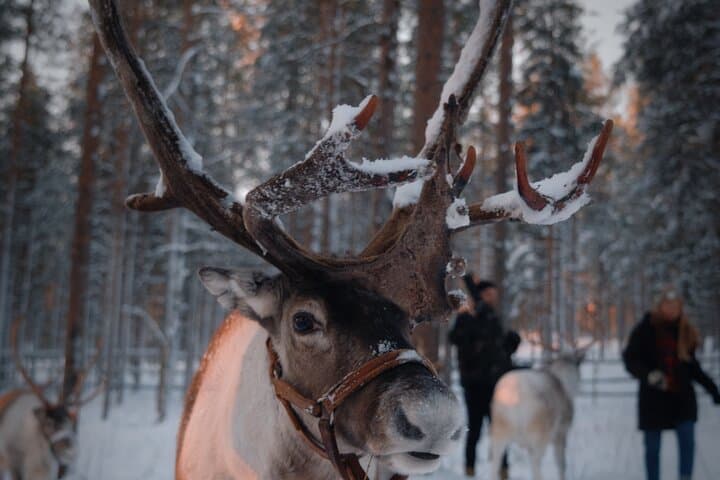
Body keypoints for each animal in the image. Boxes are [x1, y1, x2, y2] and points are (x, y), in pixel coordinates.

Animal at [490, 338, 594, 480]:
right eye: (578, 363)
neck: (565, 383)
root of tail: (515, 395)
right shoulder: (561, 431)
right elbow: (561, 464)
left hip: (499, 429)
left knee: (495, 464)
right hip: (538, 433)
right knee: (535, 465)